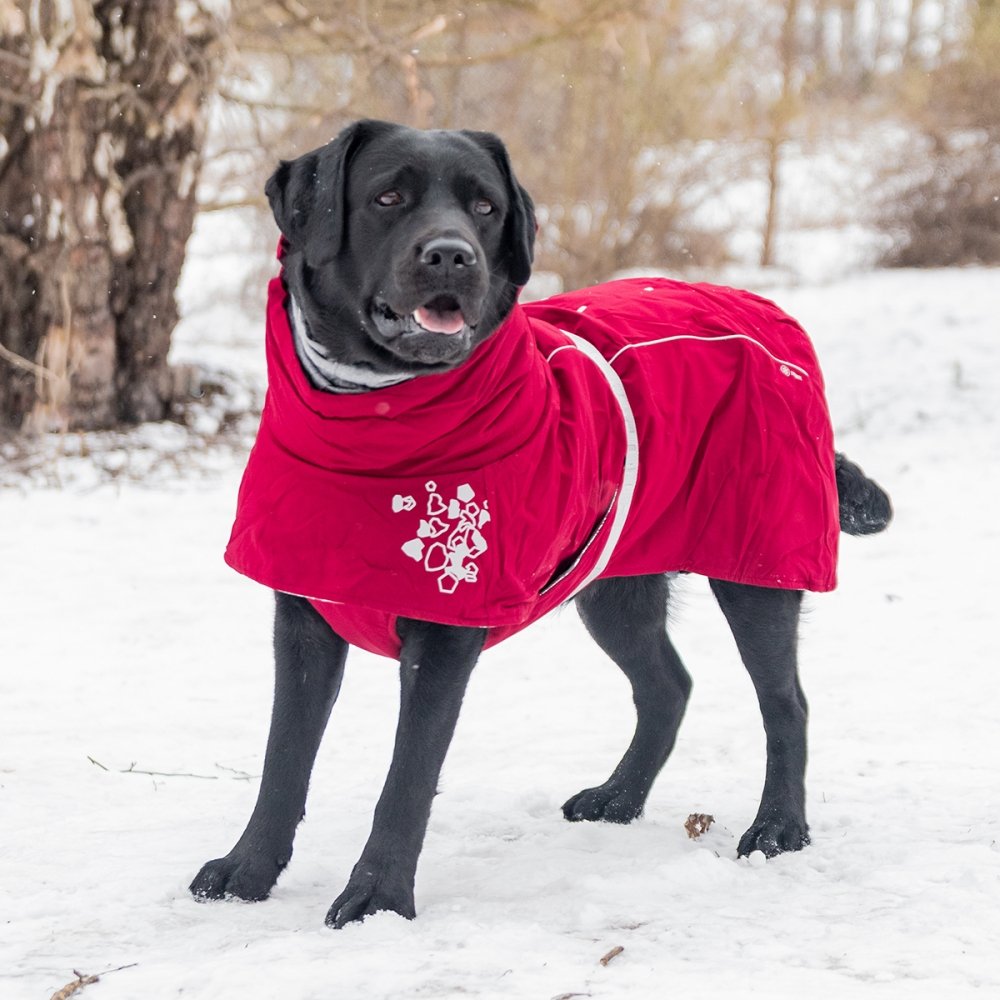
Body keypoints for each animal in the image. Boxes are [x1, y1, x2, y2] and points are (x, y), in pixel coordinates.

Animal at [191, 121, 896, 924]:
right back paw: (619, 797)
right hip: (613, 586)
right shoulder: (304, 614)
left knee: (786, 702)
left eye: (485, 208)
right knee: (669, 687)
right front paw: (247, 871)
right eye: (388, 197)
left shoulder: (446, 630)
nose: (451, 254)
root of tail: (762, 310)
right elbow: (283, 758)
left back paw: (779, 827)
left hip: (758, 563)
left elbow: (406, 777)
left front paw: (376, 898)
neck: (370, 426)